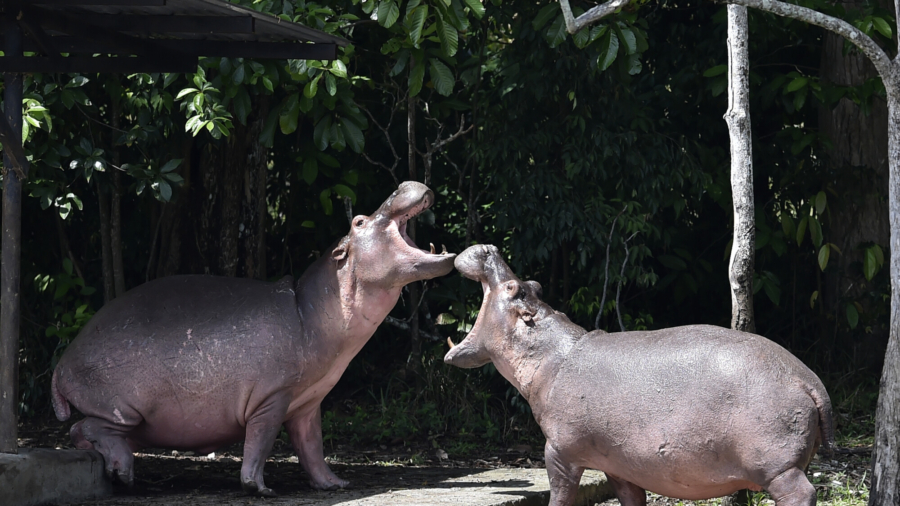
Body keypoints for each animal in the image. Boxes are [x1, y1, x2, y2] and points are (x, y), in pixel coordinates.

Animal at [51, 182, 455, 496]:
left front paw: (334, 484)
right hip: (125, 409)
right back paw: (123, 473)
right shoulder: (271, 397)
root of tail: (60, 365)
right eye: (358, 221)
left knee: (85, 430)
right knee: (84, 428)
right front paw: (259, 488)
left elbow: (312, 448)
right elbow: (259, 443)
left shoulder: (308, 402)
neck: (310, 309)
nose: (402, 184)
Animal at [444, 244, 834, 506]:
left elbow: (560, 496)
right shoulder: (619, 466)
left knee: (801, 493)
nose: (489, 248)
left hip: (778, 469)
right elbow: (631, 499)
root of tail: (809, 379)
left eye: (513, 289)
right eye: (533, 284)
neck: (549, 354)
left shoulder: (559, 453)